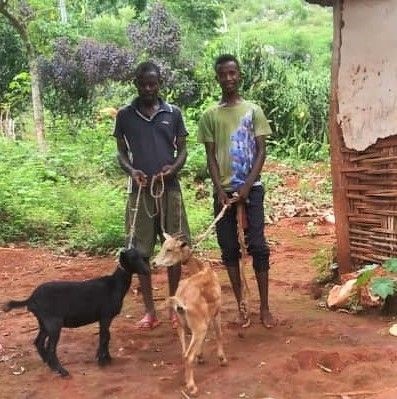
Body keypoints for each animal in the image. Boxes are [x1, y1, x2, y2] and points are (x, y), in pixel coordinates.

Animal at [1, 248, 148, 376]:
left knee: (39, 342)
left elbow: (107, 336)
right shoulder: (105, 316)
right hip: (53, 322)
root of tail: (31, 298)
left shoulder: (104, 318)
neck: (115, 284)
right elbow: (104, 337)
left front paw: (106, 358)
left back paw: (49, 364)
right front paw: (102, 360)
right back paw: (61, 371)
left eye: (143, 257)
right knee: (51, 347)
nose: (147, 270)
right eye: (133, 258)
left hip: (43, 322)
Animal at [152, 234, 226, 396]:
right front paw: (222, 359)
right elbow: (219, 334)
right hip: (199, 327)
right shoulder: (216, 313)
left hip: (181, 325)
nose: (153, 263)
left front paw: (201, 356)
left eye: (169, 249)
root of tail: (180, 300)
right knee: (187, 355)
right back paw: (192, 387)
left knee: (183, 352)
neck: (201, 269)